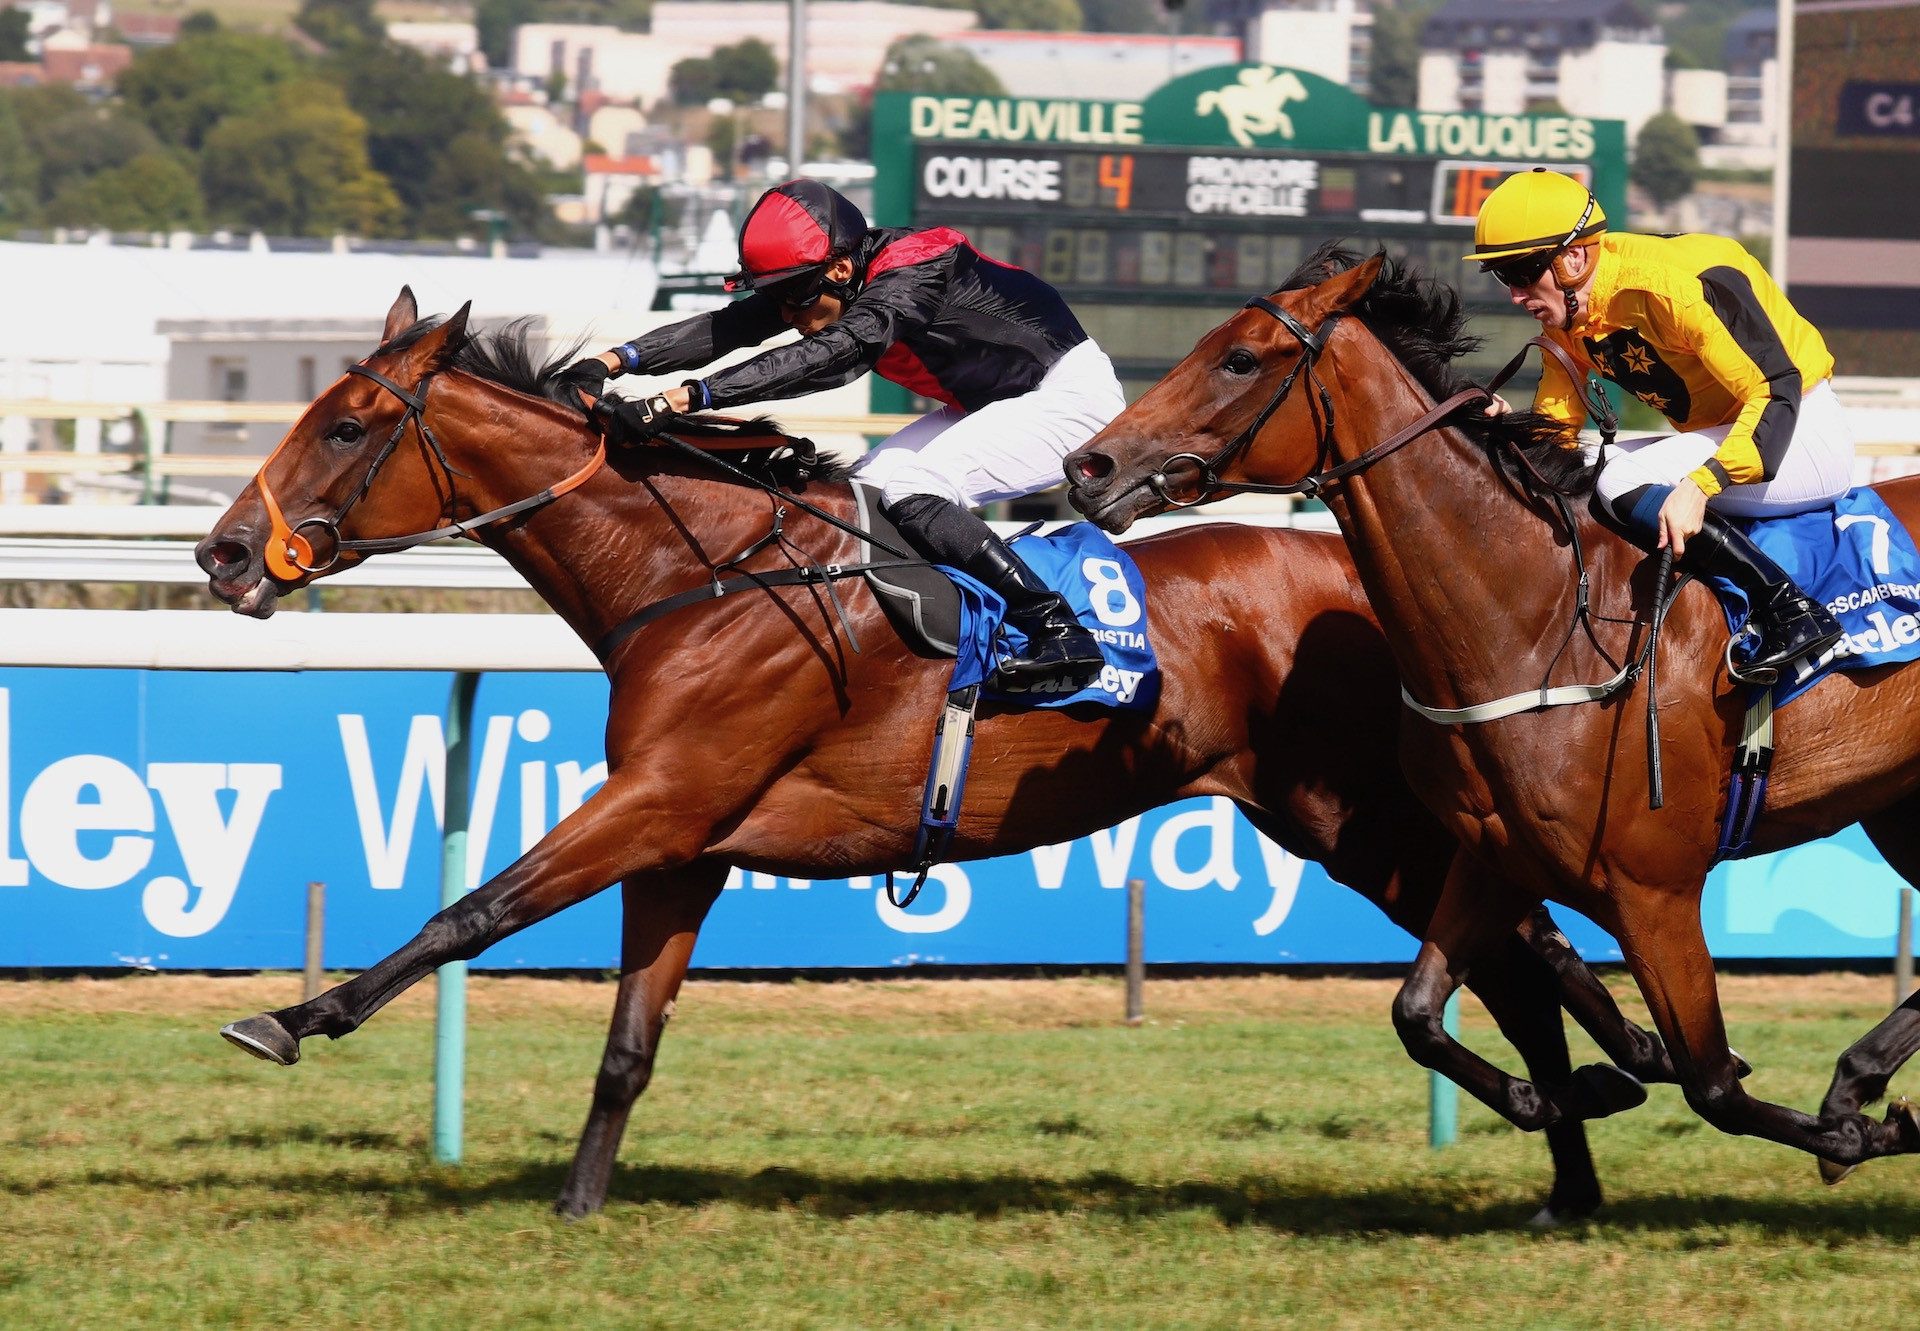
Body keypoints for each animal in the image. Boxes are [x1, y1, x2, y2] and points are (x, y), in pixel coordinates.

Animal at [191, 286, 1666, 1221]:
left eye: (344, 425)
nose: (219, 552)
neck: (696, 572)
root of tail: (1372, 574)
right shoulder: (685, 840)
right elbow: (627, 1041)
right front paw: (578, 1202)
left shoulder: (657, 799)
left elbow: (472, 908)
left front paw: (292, 1016)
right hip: (1339, 815)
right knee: (1516, 951)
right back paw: (1590, 1134)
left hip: (1353, 813)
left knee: (1513, 947)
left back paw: (1594, 1102)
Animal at [1059, 249, 1920, 1175]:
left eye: (1241, 359)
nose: (1088, 467)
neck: (1541, 621)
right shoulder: (1493, 857)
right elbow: (1417, 1013)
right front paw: (1574, 1089)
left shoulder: (1655, 891)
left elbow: (1713, 1082)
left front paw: (1853, 1132)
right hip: (1898, 805)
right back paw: (1856, 1076)